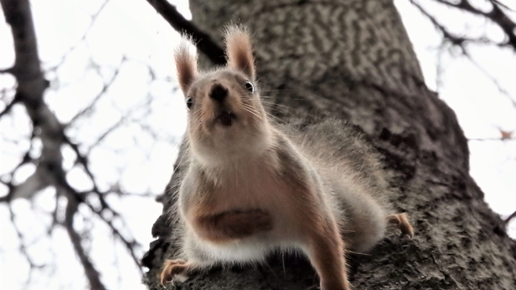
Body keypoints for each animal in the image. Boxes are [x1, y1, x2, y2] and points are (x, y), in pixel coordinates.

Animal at [159, 25, 414, 290]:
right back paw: (182, 265)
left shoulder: (302, 186)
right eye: (189, 102)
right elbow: (206, 227)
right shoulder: (195, 196)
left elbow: (325, 241)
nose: (218, 90)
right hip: (201, 247)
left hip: (357, 213)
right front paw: (257, 220)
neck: (237, 156)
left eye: (249, 86)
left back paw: (392, 219)